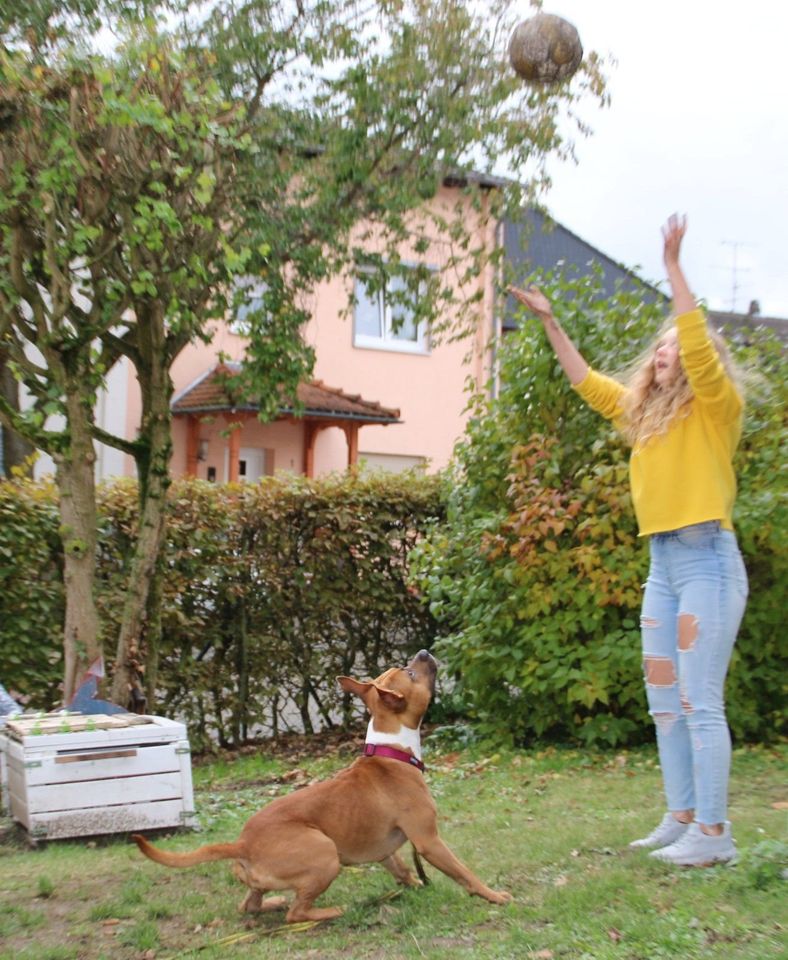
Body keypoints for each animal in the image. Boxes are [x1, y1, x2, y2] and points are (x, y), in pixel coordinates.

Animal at [132, 652, 516, 924]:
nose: (422, 651)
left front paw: (416, 885)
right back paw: (334, 911)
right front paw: (494, 896)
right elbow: (464, 872)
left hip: (274, 877)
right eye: (409, 672)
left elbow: (402, 870)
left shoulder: (387, 850)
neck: (390, 750)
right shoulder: (429, 841)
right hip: (324, 853)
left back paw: (273, 902)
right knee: (296, 913)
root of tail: (242, 843)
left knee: (250, 904)